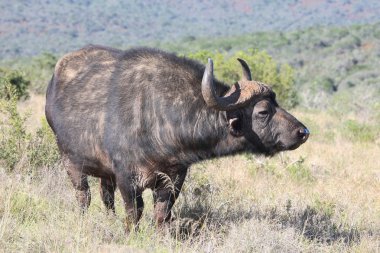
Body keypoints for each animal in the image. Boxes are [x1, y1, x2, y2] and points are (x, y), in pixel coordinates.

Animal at [46, 44, 310, 230]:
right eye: (263, 111)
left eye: (277, 102)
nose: (303, 132)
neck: (159, 116)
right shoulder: (127, 178)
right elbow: (134, 213)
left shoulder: (174, 179)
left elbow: (162, 214)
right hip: (71, 163)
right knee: (85, 197)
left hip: (105, 173)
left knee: (106, 197)